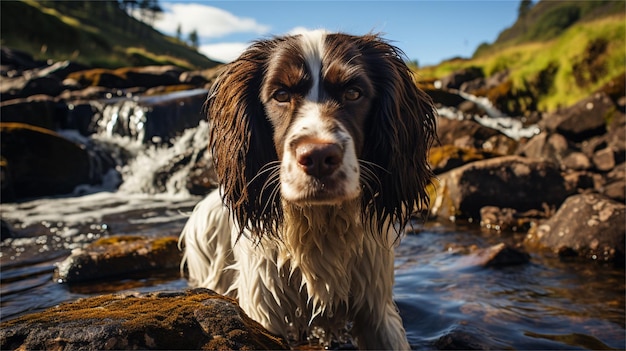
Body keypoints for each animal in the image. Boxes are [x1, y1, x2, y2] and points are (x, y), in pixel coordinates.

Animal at [179, 31, 434, 350]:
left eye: (354, 93)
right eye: (280, 95)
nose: (318, 157)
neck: (319, 224)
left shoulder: (376, 309)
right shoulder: (263, 307)